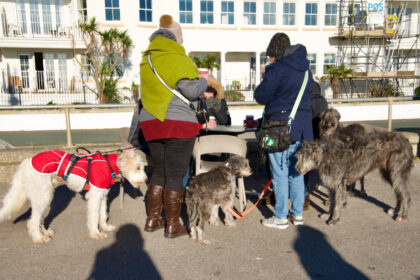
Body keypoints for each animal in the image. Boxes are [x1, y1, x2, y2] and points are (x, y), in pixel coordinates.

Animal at [0, 149, 148, 243]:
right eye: (138, 168)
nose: (146, 179)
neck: (109, 165)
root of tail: (26, 161)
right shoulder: (94, 197)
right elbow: (94, 216)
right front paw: (95, 233)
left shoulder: (102, 195)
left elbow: (102, 214)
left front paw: (104, 227)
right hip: (42, 196)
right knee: (33, 221)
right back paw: (39, 238)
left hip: (46, 196)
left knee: (39, 218)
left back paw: (45, 232)